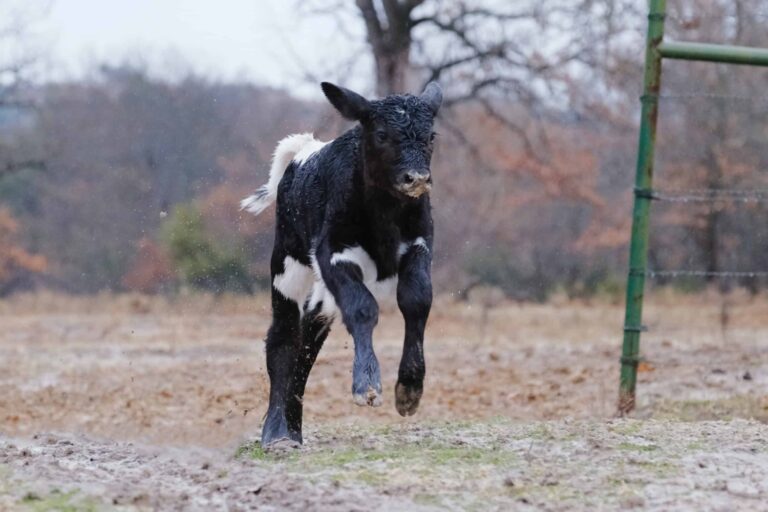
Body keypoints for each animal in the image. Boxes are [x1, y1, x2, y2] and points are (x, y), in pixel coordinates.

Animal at [242, 81, 442, 448]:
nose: (417, 179)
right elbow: (363, 308)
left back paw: (294, 428)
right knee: (283, 336)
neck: (385, 214)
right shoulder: (333, 254)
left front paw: (409, 388)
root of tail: (306, 151)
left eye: (430, 135)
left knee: (309, 338)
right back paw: (276, 431)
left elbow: (417, 301)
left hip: (321, 292)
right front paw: (367, 385)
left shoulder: (419, 247)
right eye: (382, 134)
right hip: (288, 266)